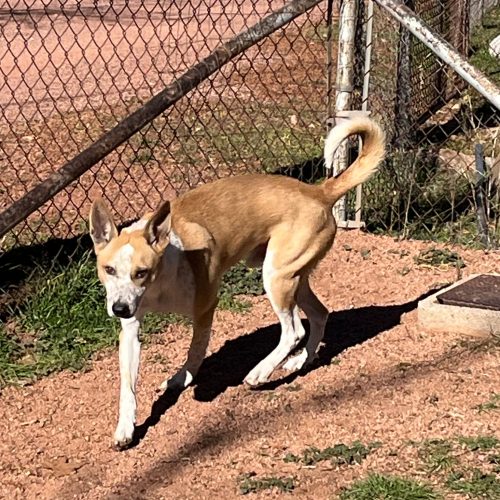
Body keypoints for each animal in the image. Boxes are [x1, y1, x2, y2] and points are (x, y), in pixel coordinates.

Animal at [89, 116, 385, 448]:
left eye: (142, 271)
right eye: (109, 269)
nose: (119, 309)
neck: (160, 280)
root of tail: (319, 191)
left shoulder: (205, 307)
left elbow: (195, 352)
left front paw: (182, 379)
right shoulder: (131, 328)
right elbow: (127, 386)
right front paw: (125, 427)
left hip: (276, 277)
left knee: (293, 330)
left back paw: (261, 372)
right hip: (293, 275)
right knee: (319, 314)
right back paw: (299, 363)